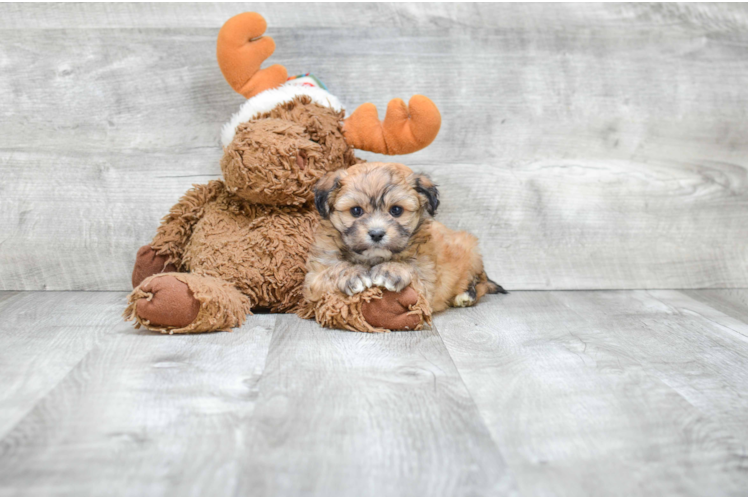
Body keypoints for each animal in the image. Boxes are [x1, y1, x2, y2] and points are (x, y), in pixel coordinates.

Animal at [306, 160, 508, 328]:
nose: (377, 233)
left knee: (480, 282)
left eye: (396, 210)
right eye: (356, 211)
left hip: (471, 250)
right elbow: (332, 270)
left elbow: (411, 270)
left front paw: (391, 270)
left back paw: (466, 295)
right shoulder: (314, 278)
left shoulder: (426, 279)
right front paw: (353, 274)